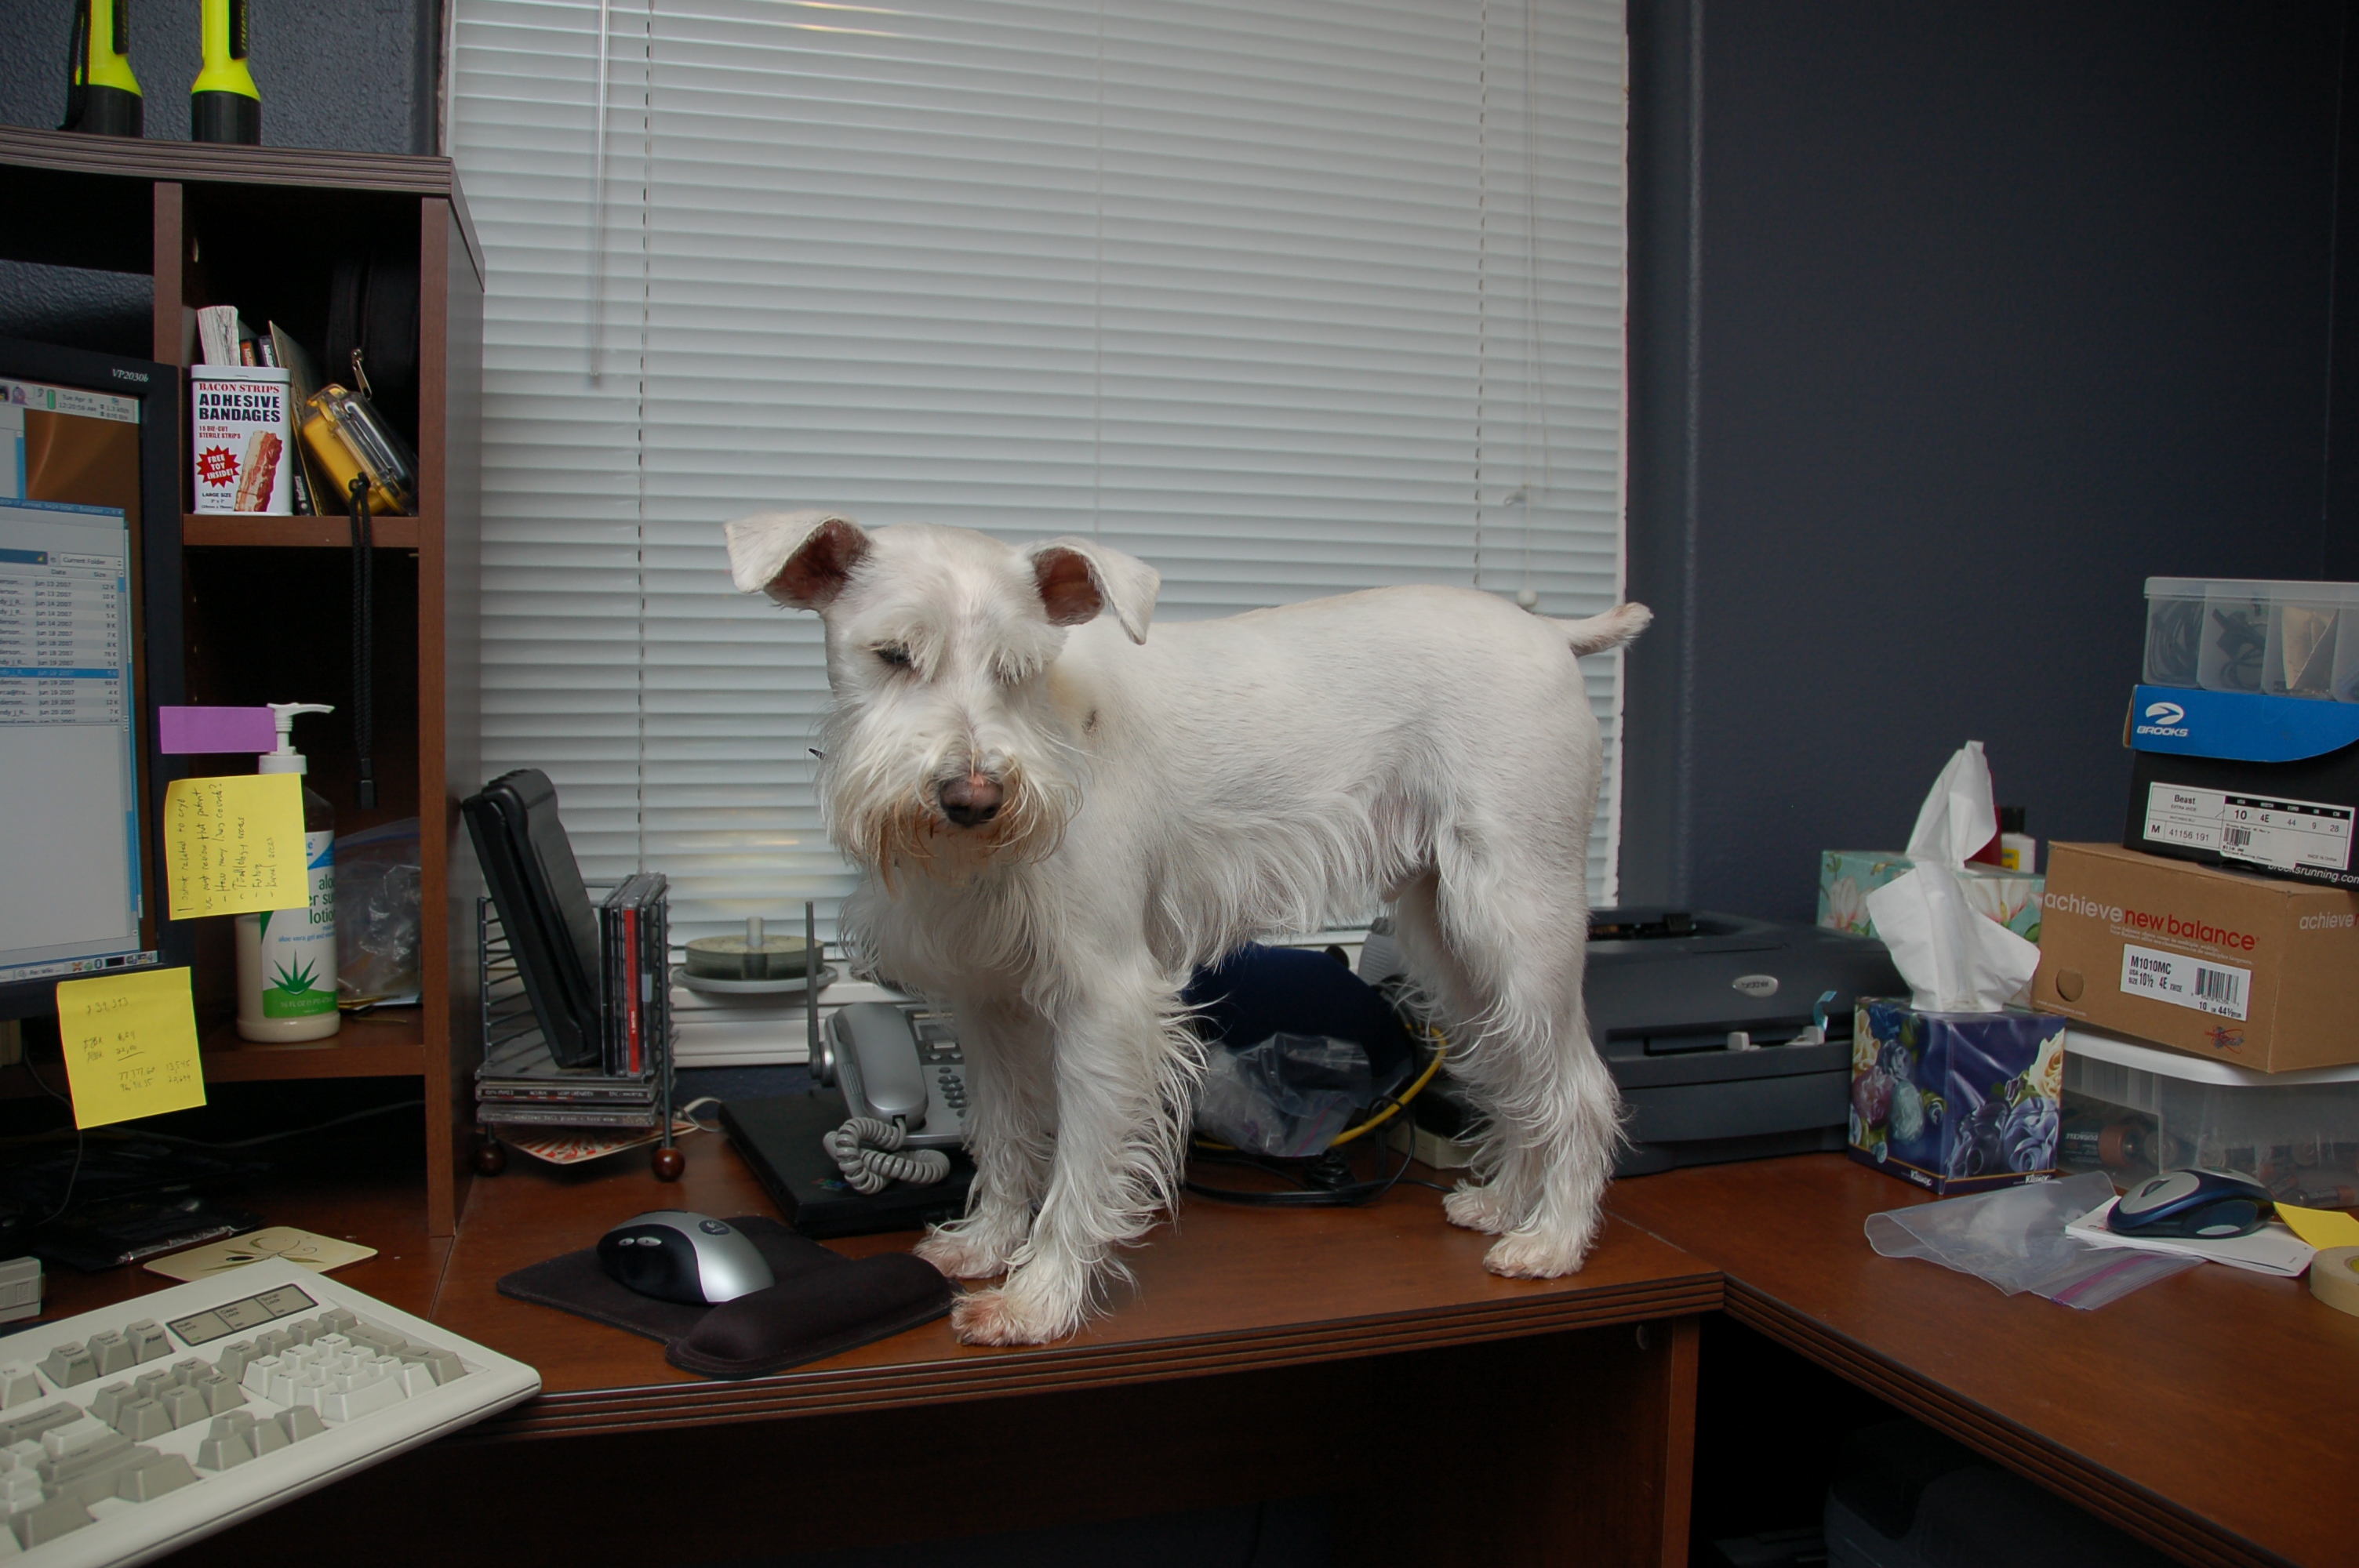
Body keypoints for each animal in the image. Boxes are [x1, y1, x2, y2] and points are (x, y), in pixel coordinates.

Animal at [725, 510, 1650, 1346]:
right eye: (892, 655)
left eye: (1017, 668)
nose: (973, 797)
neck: (1053, 728)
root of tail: (1549, 633)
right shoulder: (988, 1005)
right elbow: (1004, 1132)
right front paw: (985, 1244)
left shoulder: (1103, 1000)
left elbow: (1079, 1160)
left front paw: (1039, 1298)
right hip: (1454, 944)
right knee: (1519, 1072)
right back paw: (1504, 1204)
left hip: (1517, 917)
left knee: (1579, 1085)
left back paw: (1554, 1239)